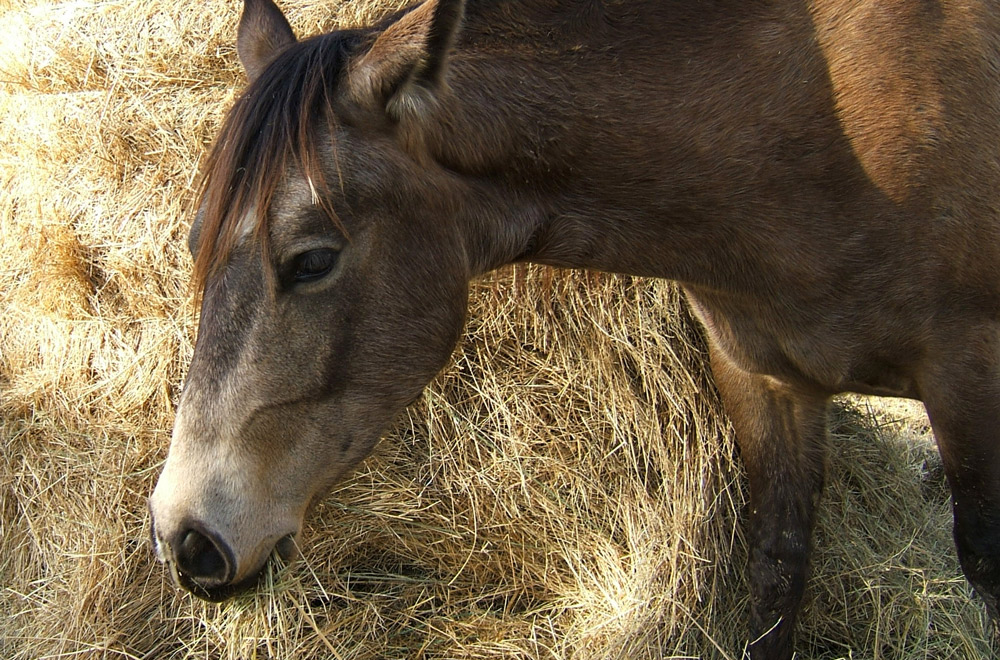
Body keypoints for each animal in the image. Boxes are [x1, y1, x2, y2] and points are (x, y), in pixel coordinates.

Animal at [146, 2, 1000, 656]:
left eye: (314, 259)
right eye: (195, 245)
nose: (184, 538)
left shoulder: (970, 376)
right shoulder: (762, 379)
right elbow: (778, 572)